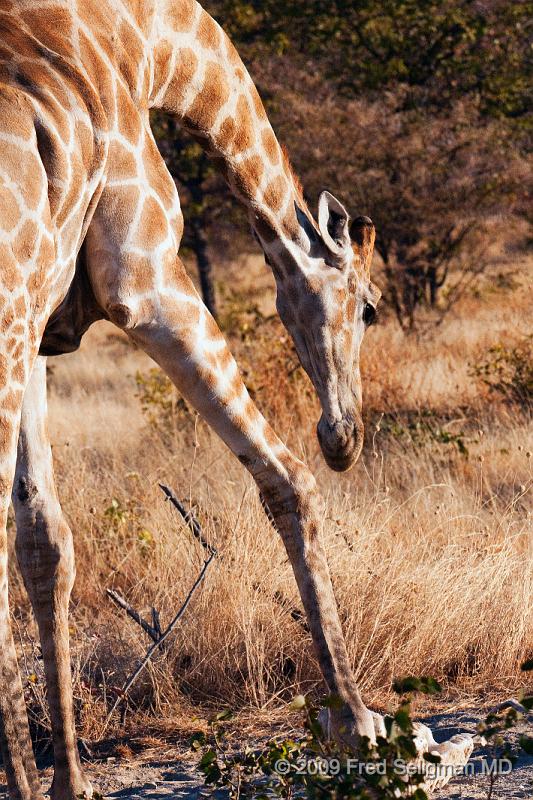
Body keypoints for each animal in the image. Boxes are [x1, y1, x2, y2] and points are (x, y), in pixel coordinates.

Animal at [0, 1, 474, 800]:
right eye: (371, 307)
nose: (343, 438)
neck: (147, 46)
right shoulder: (144, 282)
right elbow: (286, 478)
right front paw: (362, 724)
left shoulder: (40, 325)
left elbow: (44, 541)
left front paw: (66, 782)